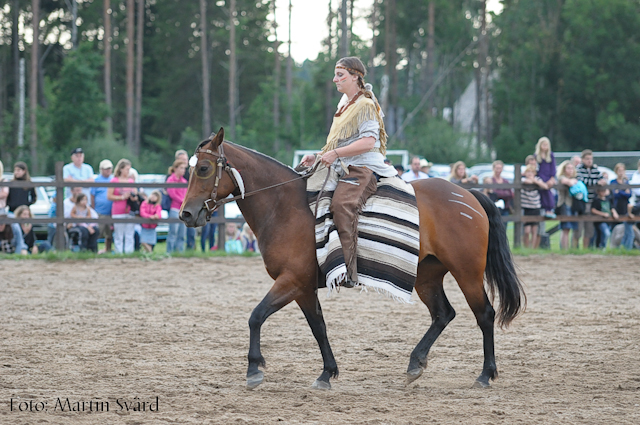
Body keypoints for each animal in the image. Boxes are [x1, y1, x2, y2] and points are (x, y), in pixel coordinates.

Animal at [179, 127, 524, 390]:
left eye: (204, 168)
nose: (186, 214)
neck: (284, 206)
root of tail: (468, 195)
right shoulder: (303, 287)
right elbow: (318, 326)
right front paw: (327, 373)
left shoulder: (291, 280)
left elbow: (256, 316)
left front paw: (253, 370)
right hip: (427, 276)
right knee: (443, 314)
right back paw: (416, 363)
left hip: (467, 272)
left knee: (484, 314)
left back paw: (485, 374)